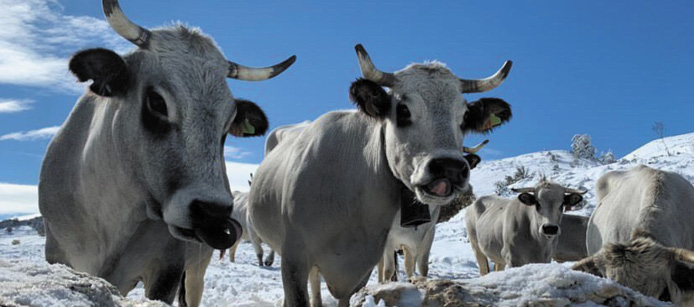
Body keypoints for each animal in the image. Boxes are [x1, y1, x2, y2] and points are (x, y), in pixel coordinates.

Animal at [38, 1, 294, 306]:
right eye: (157, 102)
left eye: (228, 120)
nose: (212, 213)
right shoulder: (57, 254)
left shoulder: (168, 267)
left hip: (196, 269)